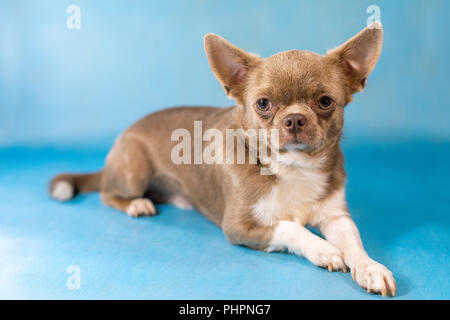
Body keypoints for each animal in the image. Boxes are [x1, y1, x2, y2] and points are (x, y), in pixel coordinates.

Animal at [48, 21, 394, 298]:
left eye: (325, 102)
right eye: (263, 104)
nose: (294, 119)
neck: (293, 169)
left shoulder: (337, 217)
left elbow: (354, 244)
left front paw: (370, 267)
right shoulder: (240, 227)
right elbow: (291, 227)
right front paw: (323, 248)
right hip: (133, 168)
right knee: (108, 194)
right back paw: (136, 204)